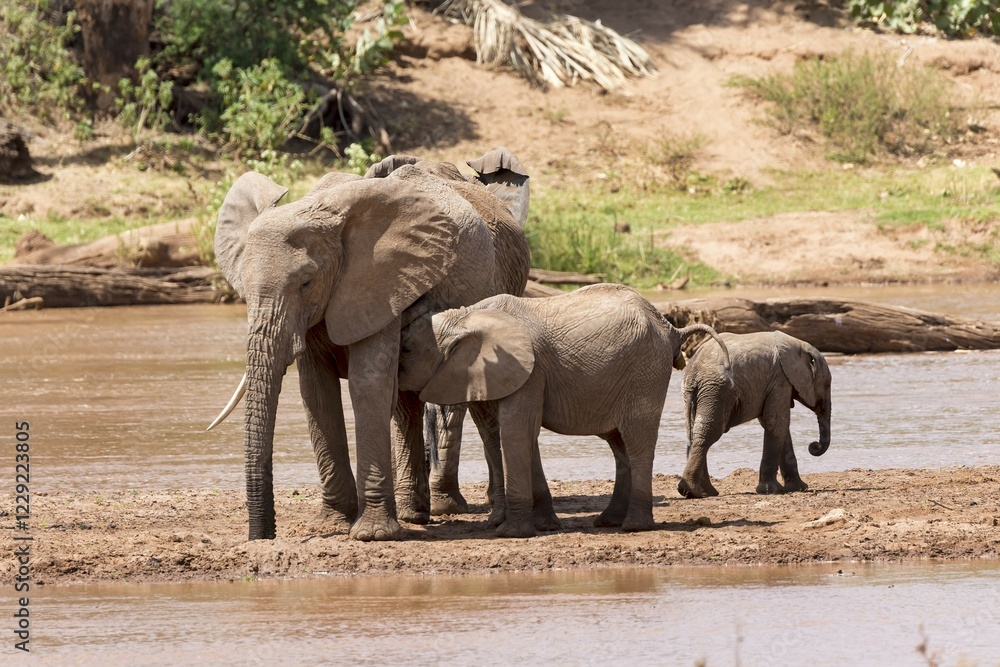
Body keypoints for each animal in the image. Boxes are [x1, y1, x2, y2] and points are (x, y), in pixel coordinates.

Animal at [208, 148, 531, 541]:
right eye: (241, 285)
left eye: (306, 282)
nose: (263, 534)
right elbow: (316, 390)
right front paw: (333, 523)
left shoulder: (382, 280)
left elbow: (369, 382)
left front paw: (372, 534)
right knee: (406, 403)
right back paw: (412, 513)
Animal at [397, 283, 732, 537]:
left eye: (407, 350)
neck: (464, 317)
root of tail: (671, 328)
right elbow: (520, 435)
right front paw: (543, 526)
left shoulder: (529, 372)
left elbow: (516, 431)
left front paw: (511, 532)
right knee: (618, 444)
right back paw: (607, 521)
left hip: (644, 372)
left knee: (636, 441)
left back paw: (634, 526)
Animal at [678, 330, 832, 499]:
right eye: (827, 385)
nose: (814, 446)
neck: (800, 344)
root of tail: (693, 370)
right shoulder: (780, 380)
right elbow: (776, 423)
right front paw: (770, 491)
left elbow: (778, 426)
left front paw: (798, 488)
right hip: (717, 390)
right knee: (710, 431)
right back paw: (692, 491)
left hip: (699, 393)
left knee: (696, 431)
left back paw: (703, 492)